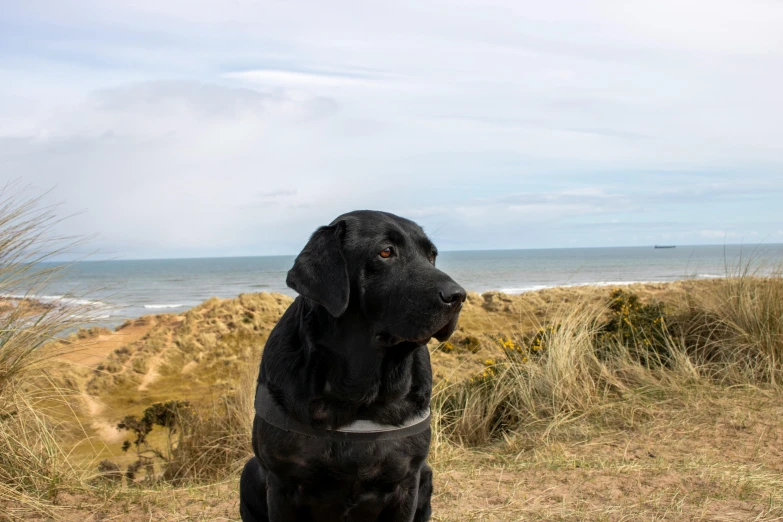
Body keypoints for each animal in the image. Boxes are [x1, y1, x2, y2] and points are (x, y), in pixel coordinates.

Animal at [240, 209, 466, 516]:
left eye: (431, 256)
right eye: (385, 252)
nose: (458, 296)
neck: (361, 393)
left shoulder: (408, 480)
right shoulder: (281, 482)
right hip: (250, 471)